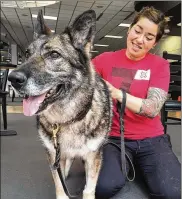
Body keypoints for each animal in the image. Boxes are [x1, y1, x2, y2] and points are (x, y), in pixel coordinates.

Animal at [8, 9, 112, 199]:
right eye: (26, 54)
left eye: (54, 55)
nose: (13, 78)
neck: (68, 119)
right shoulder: (54, 156)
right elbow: (60, 186)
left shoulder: (93, 157)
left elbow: (89, 189)